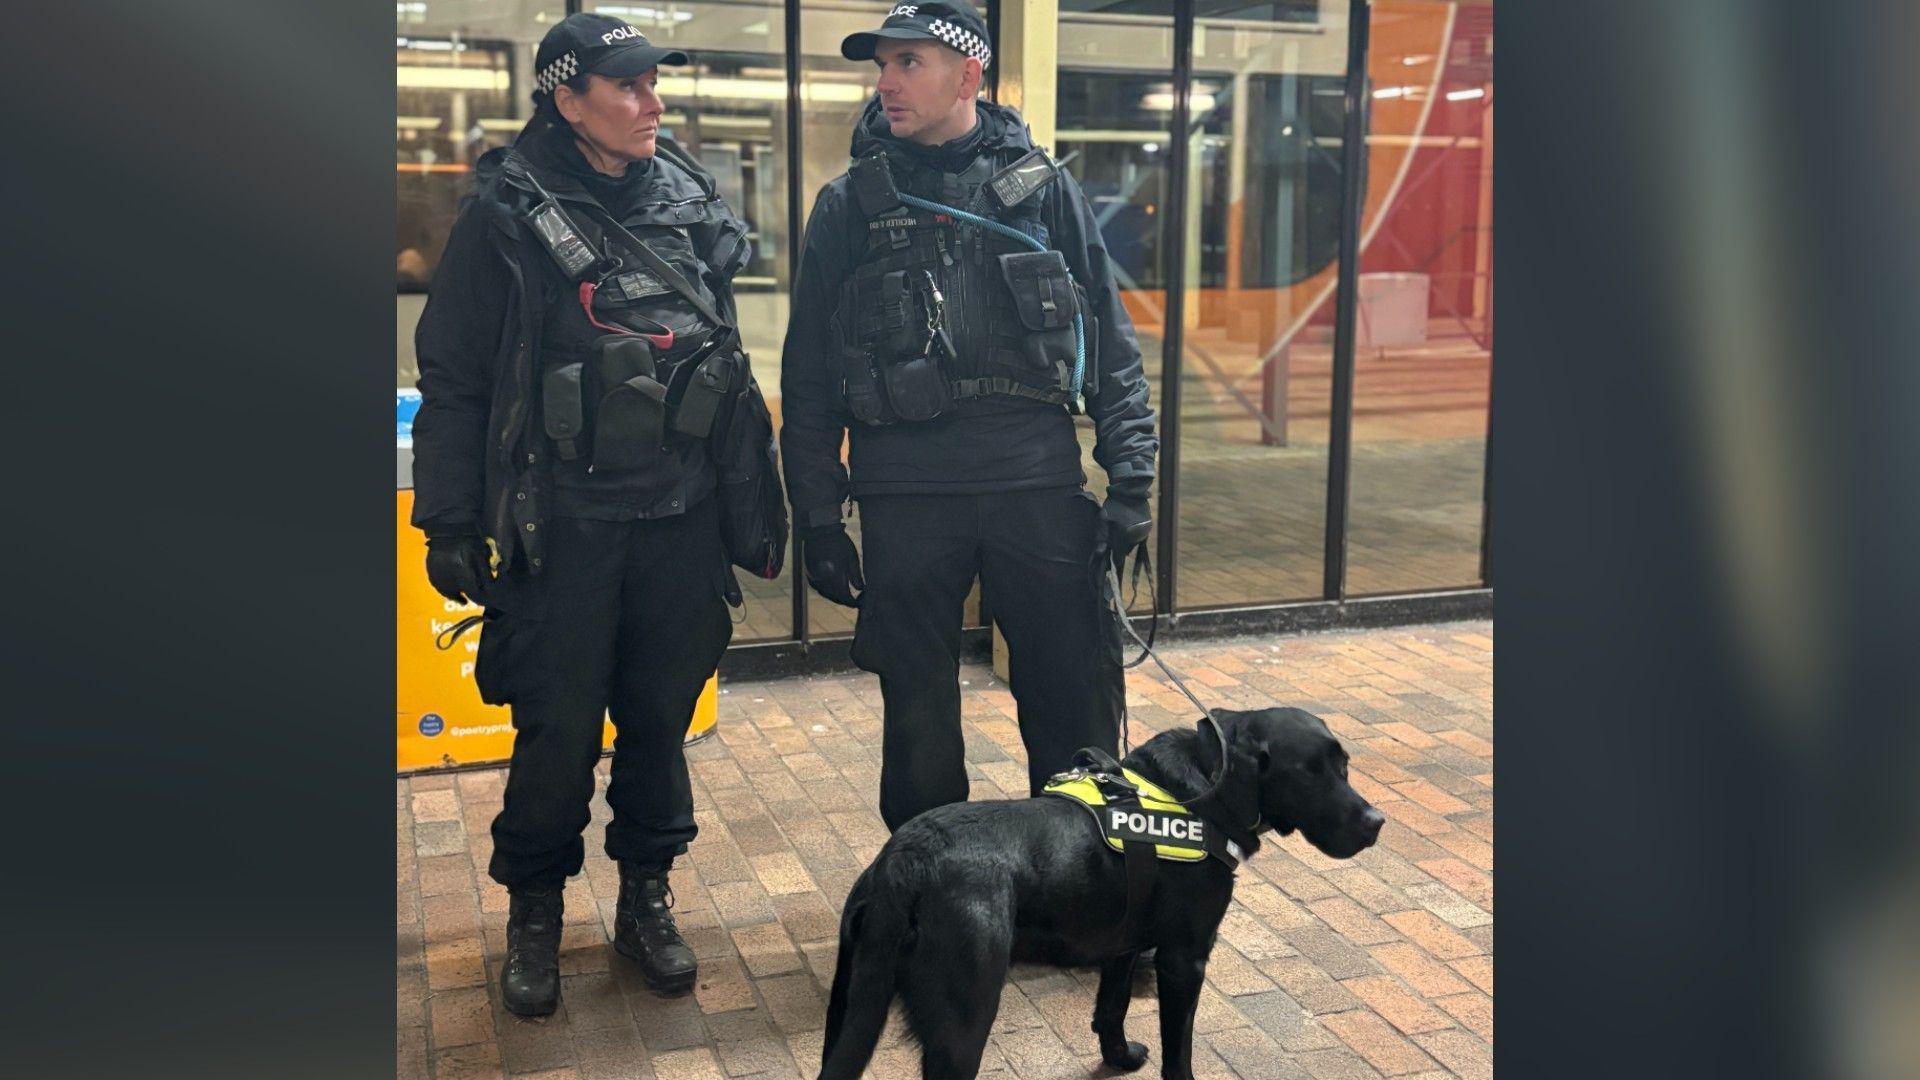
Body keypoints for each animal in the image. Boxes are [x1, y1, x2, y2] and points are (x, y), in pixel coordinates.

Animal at [817, 703, 1390, 1068]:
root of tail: (904, 863)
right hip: (963, 1015)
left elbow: (1110, 1010)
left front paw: (1118, 1058)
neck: (1202, 790)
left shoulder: (1124, 943)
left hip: (850, 1006)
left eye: (1344, 766)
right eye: (1309, 772)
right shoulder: (1185, 958)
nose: (1376, 822)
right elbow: (1178, 1052)